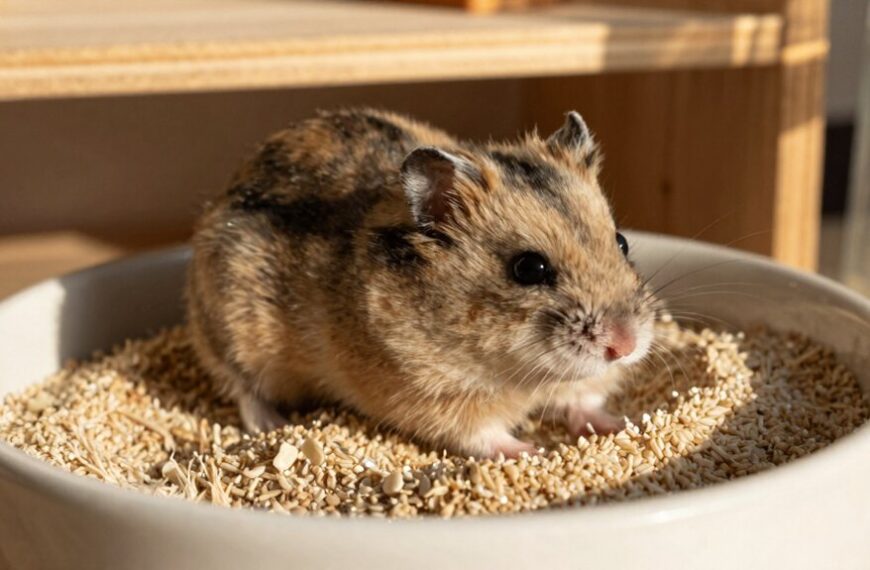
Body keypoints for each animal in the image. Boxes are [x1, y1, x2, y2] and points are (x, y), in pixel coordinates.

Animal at [187, 108, 654, 459]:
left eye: (621, 241)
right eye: (529, 269)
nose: (625, 345)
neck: (524, 375)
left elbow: (583, 401)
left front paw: (621, 425)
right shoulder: (436, 399)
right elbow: (484, 434)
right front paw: (532, 451)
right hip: (231, 332)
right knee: (243, 387)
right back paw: (273, 423)